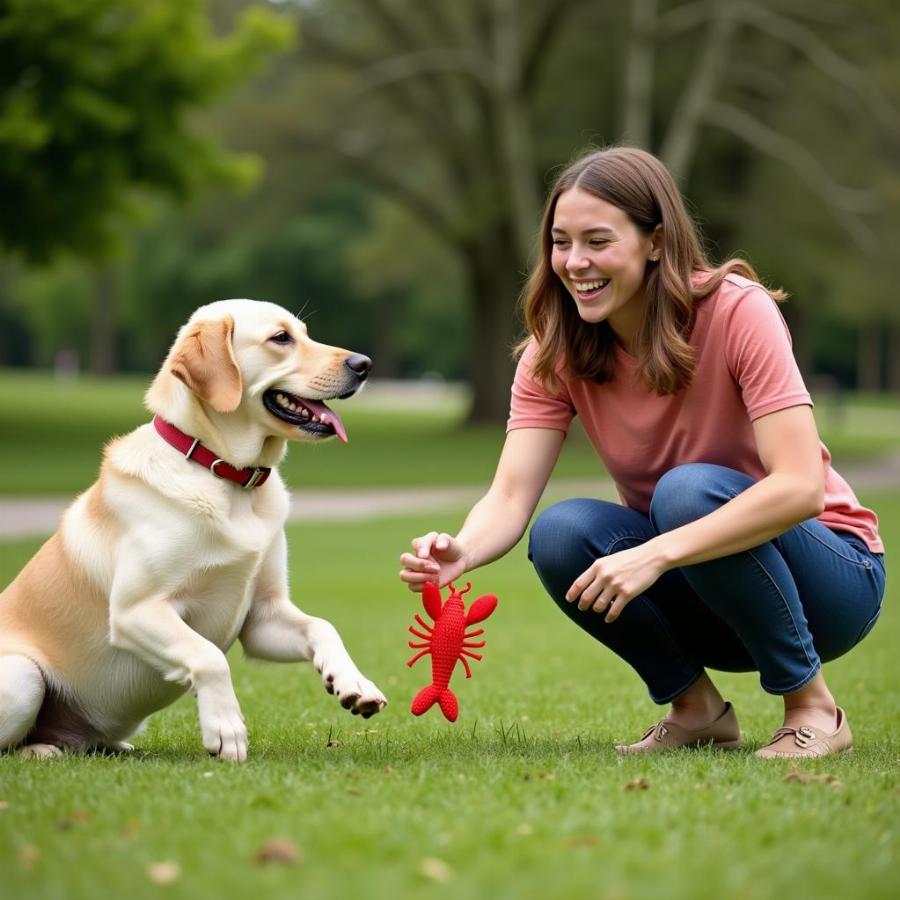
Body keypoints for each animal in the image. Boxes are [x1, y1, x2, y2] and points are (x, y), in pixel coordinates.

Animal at [0, 300, 384, 760]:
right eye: (281, 338)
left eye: (305, 333)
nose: (364, 364)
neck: (224, 475)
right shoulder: (136, 610)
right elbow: (208, 656)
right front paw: (226, 729)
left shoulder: (262, 616)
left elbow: (323, 625)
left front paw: (352, 682)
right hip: (23, 676)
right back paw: (42, 750)